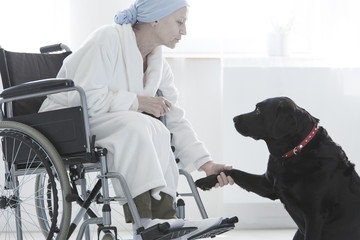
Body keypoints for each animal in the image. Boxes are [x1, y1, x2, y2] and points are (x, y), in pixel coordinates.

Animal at [195, 97, 360, 240]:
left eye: (258, 110)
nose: (234, 118)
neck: (294, 153)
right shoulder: (267, 186)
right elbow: (233, 171)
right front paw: (206, 180)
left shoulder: (315, 215)